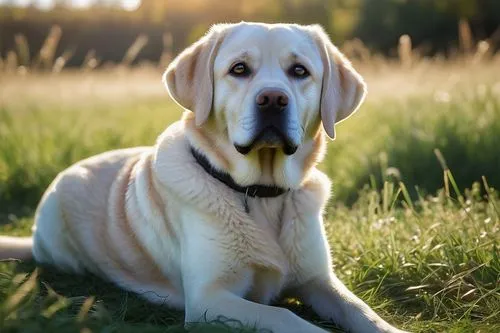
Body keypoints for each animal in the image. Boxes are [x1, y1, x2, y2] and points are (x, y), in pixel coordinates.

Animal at [0, 22, 406, 330]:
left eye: (299, 71)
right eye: (239, 69)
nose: (273, 99)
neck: (260, 193)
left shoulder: (320, 281)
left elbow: (363, 312)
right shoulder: (210, 299)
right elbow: (287, 317)